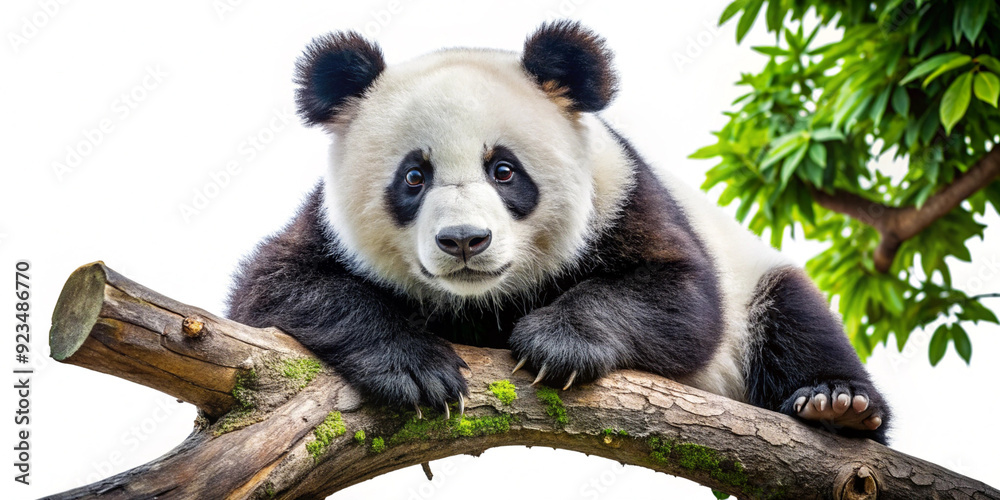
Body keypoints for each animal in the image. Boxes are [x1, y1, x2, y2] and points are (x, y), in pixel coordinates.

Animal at [227, 21, 889, 443]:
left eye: (504, 170)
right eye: (414, 177)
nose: (464, 241)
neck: (482, 302)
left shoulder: (624, 195)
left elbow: (685, 303)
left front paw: (556, 343)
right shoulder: (323, 231)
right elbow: (276, 289)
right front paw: (415, 369)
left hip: (754, 284)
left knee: (794, 315)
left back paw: (836, 405)